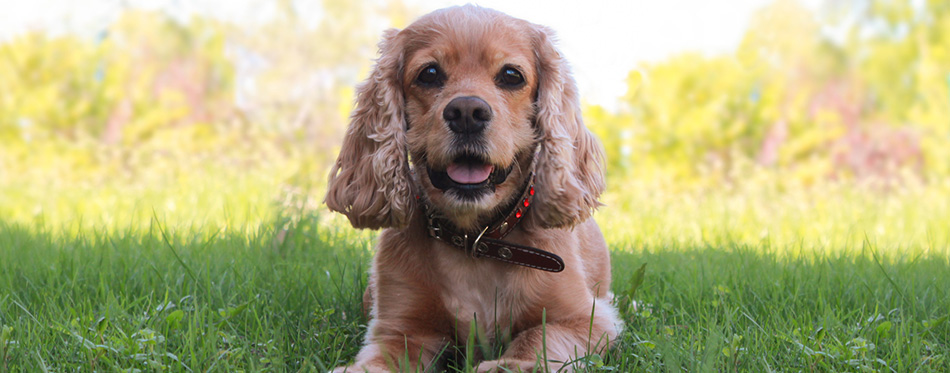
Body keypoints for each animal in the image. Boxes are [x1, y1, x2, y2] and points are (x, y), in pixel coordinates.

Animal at [328, 5, 624, 370]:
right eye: (429, 73)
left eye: (511, 75)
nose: (467, 112)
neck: (476, 241)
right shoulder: (401, 329)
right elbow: (381, 359)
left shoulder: (585, 319)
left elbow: (539, 338)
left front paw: (510, 365)